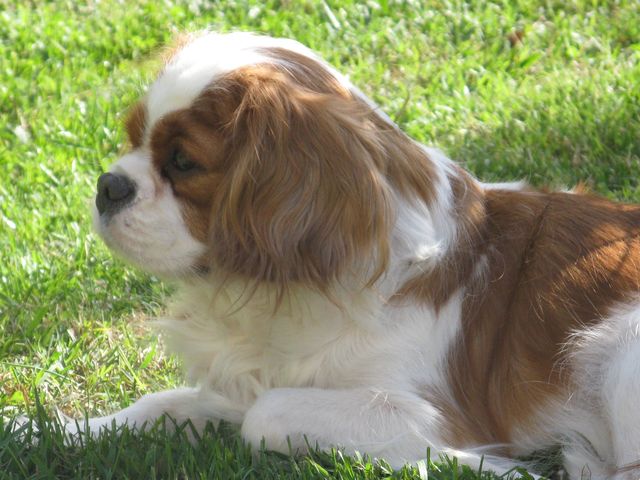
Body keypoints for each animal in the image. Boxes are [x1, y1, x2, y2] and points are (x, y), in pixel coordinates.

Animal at [83, 31, 640, 478]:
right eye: (132, 138)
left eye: (182, 162)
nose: (109, 185)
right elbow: (165, 403)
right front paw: (72, 428)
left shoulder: (426, 410)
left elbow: (265, 415)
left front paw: (479, 465)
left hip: (619, 351)